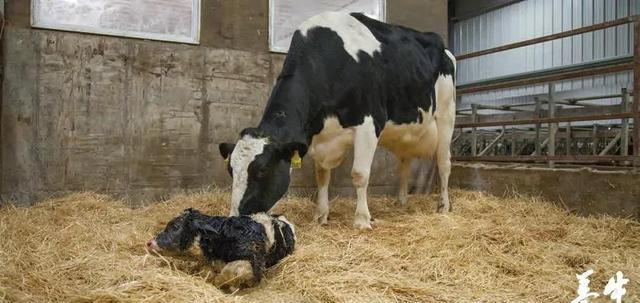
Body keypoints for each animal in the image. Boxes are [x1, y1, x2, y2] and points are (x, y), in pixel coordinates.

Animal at [219, 11, 456, 230]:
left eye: (261, 170)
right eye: (230, 170)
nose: (235, 218)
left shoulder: (369, 124)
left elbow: (360, 174)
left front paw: (362, 220)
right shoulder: (318, 137)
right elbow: (322, 176)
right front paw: (321, 216)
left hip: (446, 115)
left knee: (444, 163)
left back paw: (443, 206)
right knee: (404, 163)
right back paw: (401, 202)